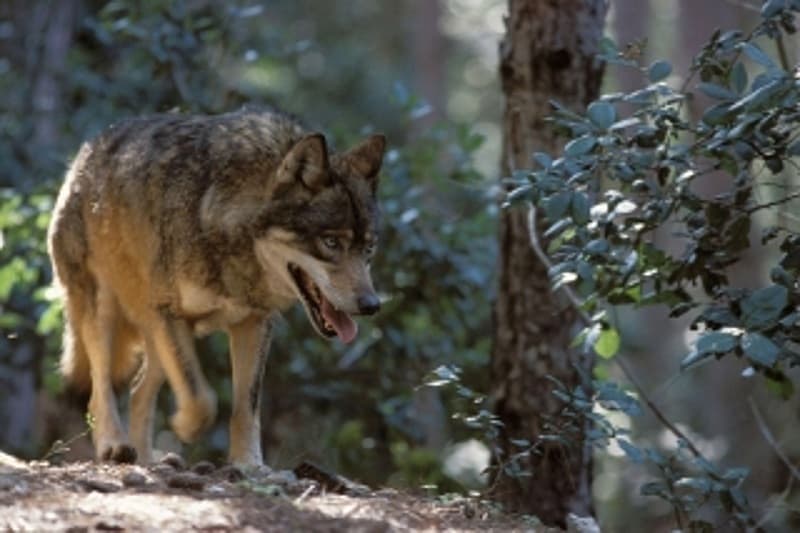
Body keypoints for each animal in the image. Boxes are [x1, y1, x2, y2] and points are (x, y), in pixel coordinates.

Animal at [47, 108, 385, 466]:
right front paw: (184, 427)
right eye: (331, 243)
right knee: (100, 388)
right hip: (105, 314)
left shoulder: (254, 324)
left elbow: (246, 407)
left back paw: (147, 459)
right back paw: (114, 444)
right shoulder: (170, 314)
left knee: (138, 392)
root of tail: (83, 154)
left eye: (368, 249)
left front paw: (249, 464)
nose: (371, 305)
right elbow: (203, 401)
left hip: (155, 335)